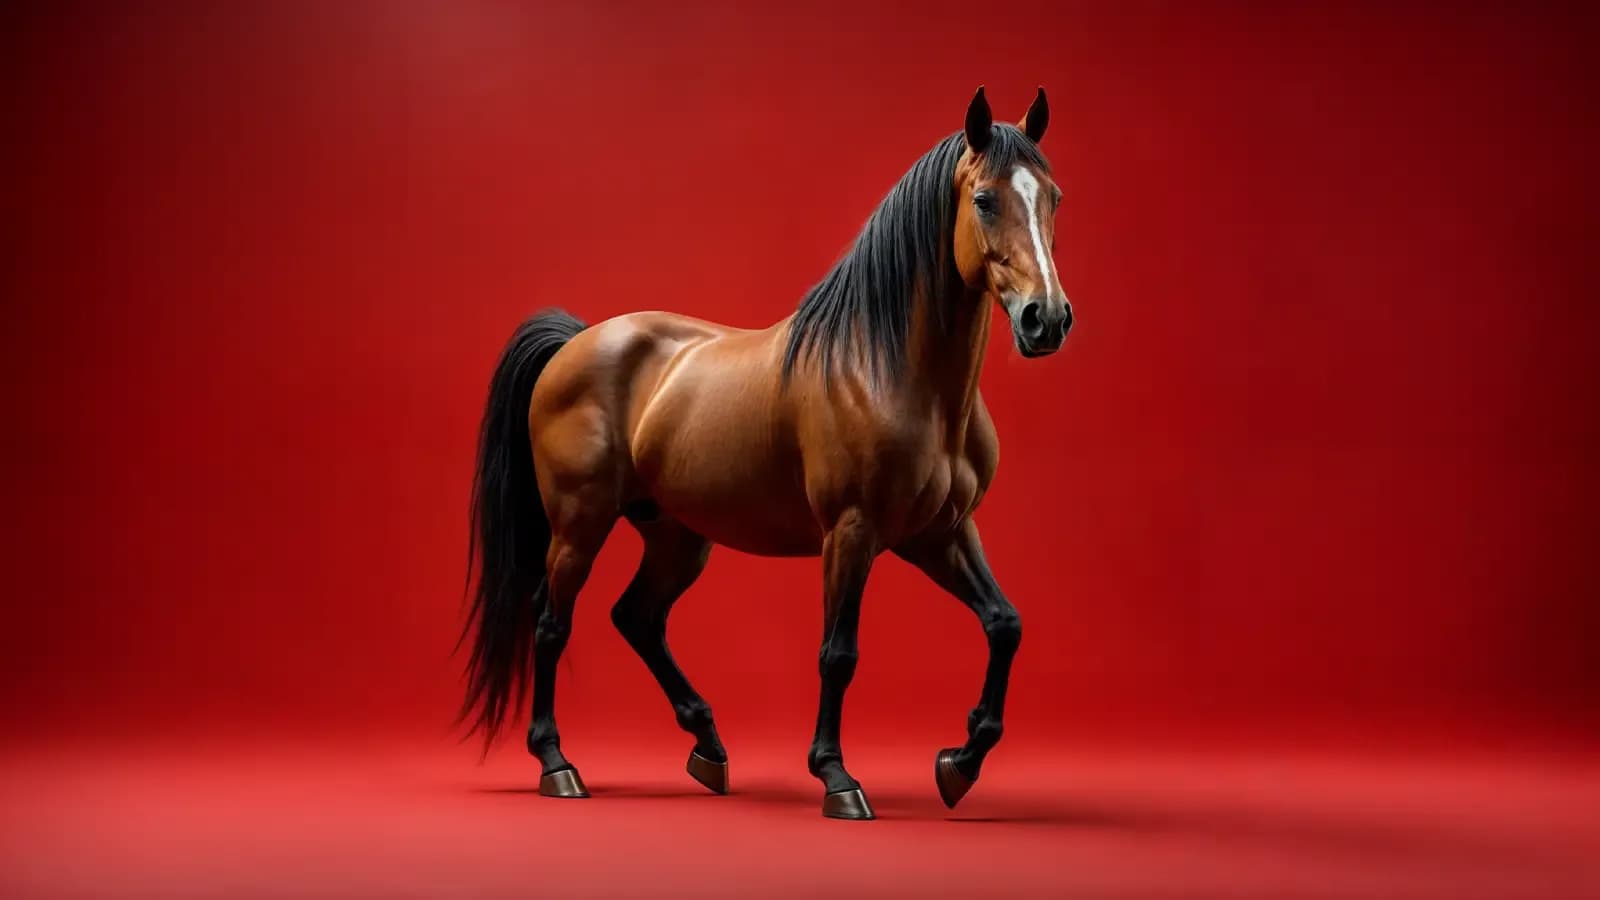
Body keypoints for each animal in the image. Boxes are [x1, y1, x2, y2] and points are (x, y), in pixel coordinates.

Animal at [457, 85, 1073, 820]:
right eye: (984, 199)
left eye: (1053, 197)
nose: (1047, 319)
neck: (892, 370)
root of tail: (576, 341)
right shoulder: (852, 532)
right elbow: (838, 653)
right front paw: (837, 777)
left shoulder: (939, 533)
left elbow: (1004, 623)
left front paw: (960, 762)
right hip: (579, 527)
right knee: (551, 623)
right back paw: (558, 764)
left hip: (677, 536)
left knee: (637, 617)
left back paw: (707, 746)